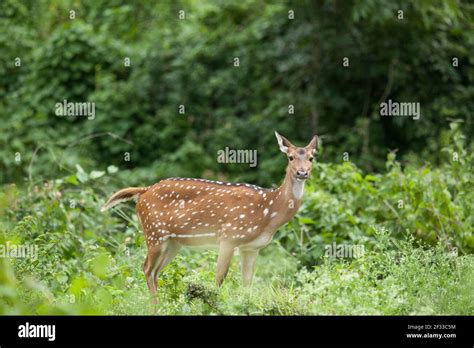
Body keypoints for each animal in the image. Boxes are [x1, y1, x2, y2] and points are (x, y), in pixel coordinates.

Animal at [102, 132, 320, 300]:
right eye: (290, 157)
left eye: (311, 158)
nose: (302, 173)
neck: (268, 211)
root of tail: (144, 191)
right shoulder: (229, 236)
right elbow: (220, 277)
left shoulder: (252, 247)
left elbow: (247, 283)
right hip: (154, 232)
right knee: (147, 268)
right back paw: (156, 307)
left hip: (172, 242)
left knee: (154, 271)